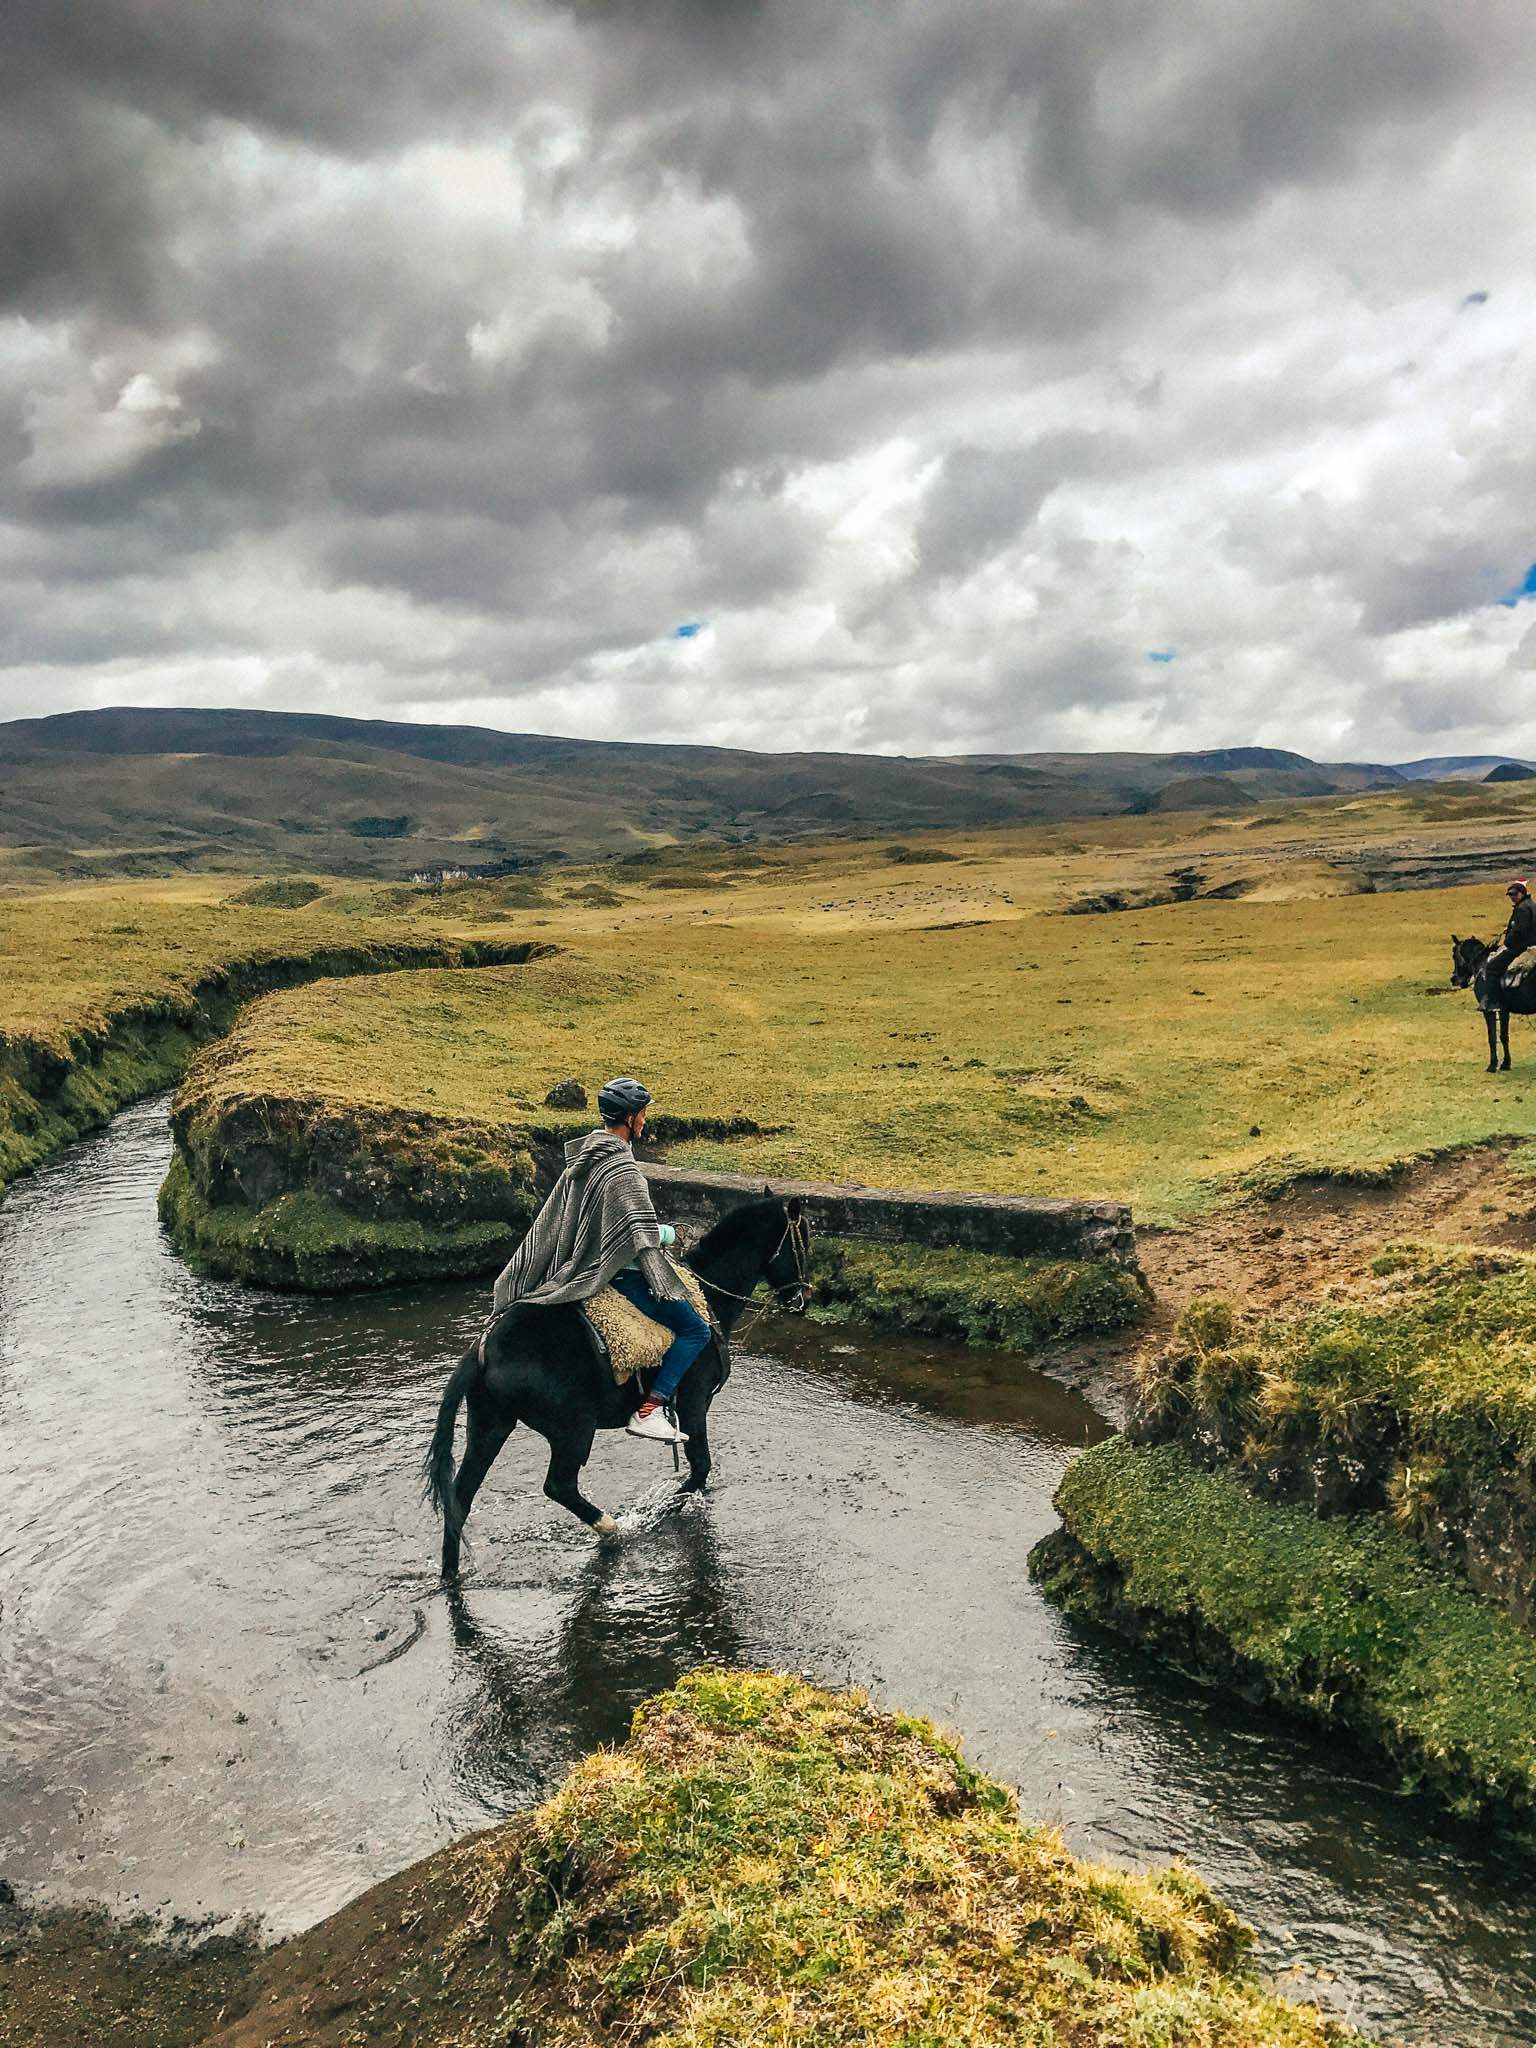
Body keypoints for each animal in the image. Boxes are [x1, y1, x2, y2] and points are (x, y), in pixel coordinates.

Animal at [415, 1196, 811, 1572]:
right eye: (803, 1242)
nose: (803, 1300)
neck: (706, 1298)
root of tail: (483, 1351)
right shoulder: (694, 1401)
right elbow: (700, 1467)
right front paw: (660, 1512)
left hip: (491, 1426)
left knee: (460, 1498)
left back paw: (450, 1572)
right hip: (573, 1428)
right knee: (559, 1485)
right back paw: (612, 1528)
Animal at [1458, 937, 1536, 1073]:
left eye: (1455, 955)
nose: (1455, 979)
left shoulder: (1488, 1011)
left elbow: (1492, 1037)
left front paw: (1492, 1065)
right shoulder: (1504, 1010)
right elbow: (1504, 1036)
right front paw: (1506, 1063)